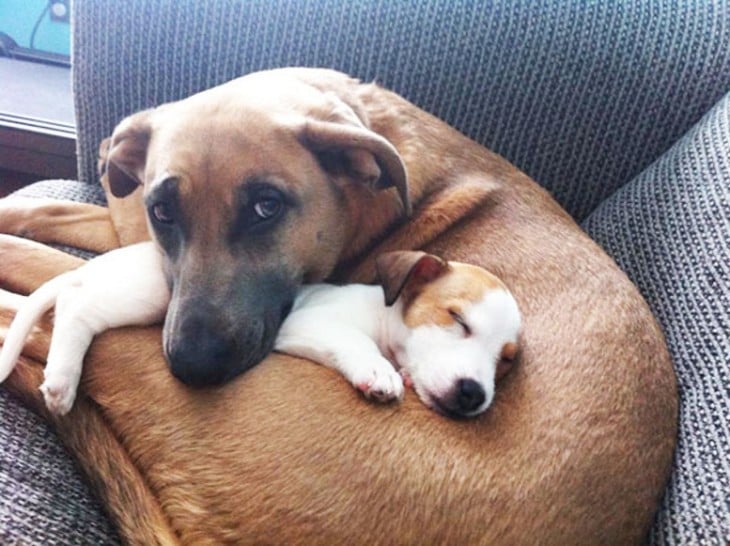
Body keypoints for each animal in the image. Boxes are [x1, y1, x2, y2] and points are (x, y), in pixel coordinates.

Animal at [0, 243, 516, 416]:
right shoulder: (309, 323)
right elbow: (354, 343)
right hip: (145, 295)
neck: (382, 310)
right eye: (457, 319)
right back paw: (62, 380)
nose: (474, 395)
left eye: (506, 362)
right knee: (76, 306)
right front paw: (379, 375)